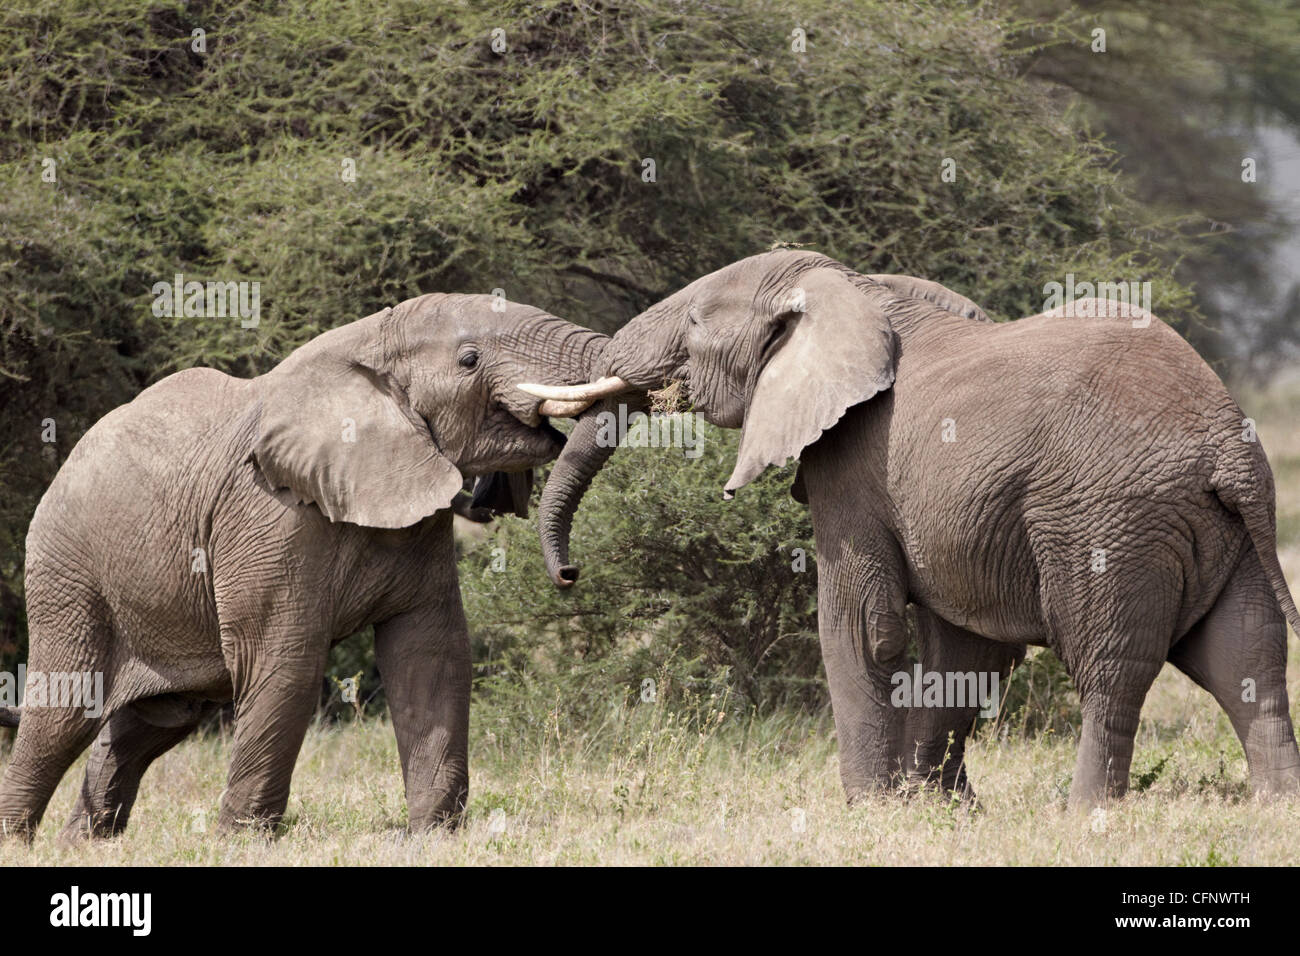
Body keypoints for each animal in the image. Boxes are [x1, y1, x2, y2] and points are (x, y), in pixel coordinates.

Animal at [0, 293, 608, 837]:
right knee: (64, 712)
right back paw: (20, 840)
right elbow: (286, 662)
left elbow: (430, 653)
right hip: (68, 571)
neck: (369, 345)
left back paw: (83, 842)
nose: (569, 574)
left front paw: (435, 836)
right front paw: (242, 842)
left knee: (153, 719)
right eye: (469, 359)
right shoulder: (270, 513)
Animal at [522, 251, 1300, 811]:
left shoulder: (855, 463)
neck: (852, 289)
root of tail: (1227, 450)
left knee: (1111, 668)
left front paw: (869, 808)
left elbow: (861, 625)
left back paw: (1088, 813)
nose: (568, 574)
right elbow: (967, 649)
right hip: (1222, 531)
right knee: (1249, 660)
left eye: (690, 324)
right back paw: (1275, 809)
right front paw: (944, 808)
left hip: (1106, 519)